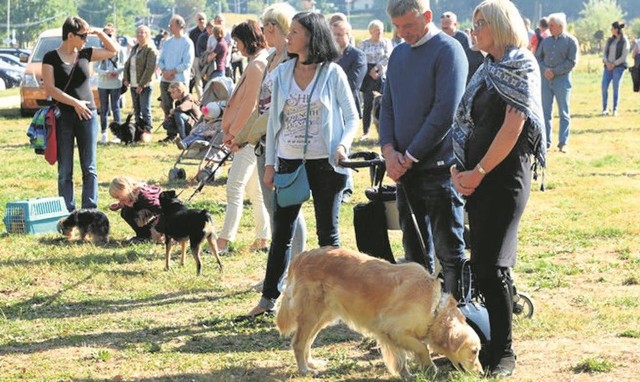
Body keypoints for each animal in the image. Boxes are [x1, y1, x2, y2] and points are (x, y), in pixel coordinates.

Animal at [278, 248, 482, 380]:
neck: (433, 308)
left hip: (322, 316)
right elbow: (422, 348)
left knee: (307, 343)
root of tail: (301, 256)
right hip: (311, 314)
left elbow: (401, 357)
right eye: (474, 351)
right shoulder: (394, 329)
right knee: (298, 343)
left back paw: (312, 364)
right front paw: (430, 368)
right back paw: (305, 370)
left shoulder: (391, 335)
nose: (481, 373)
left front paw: (406, 374)